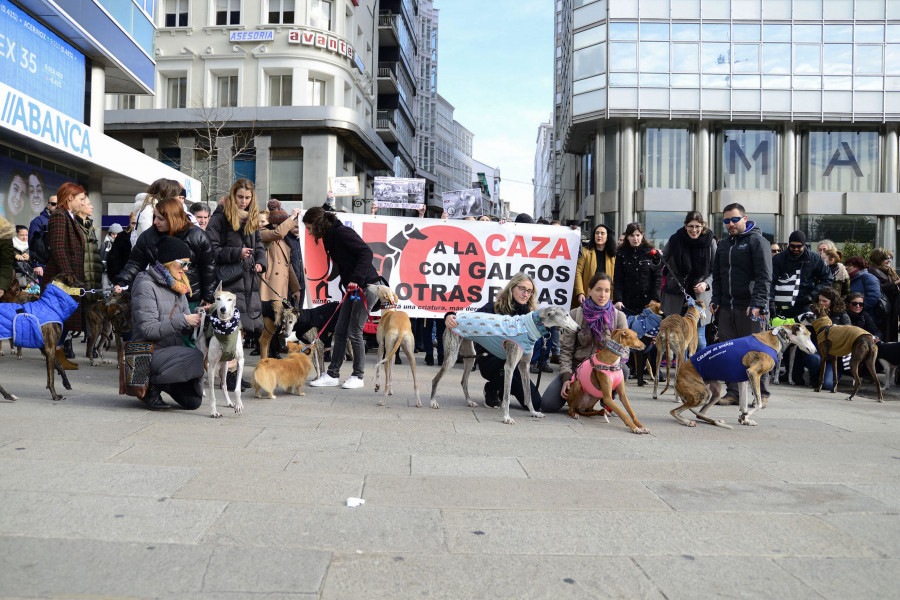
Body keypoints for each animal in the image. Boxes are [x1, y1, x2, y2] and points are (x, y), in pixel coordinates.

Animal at [432, 308, 580, 424]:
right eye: (566, 315)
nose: (579, 328)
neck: (532, 324)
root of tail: (454, 317)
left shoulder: (524, 366)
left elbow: (528, 394)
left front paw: (533, 412)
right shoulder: (509, 366)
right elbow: (507, 396)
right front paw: (507, 417)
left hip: (470, 357)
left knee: (464, 381)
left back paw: (469, 401)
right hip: (452, 357)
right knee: (435, 379)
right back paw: (433, 402)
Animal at [672, 326, 820, 428]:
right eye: (808, 334)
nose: (815, 350)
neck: (777, 337)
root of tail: (678, 376)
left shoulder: (743, 379)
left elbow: (743, 404)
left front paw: (745, 419)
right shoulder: (753, 373)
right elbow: (759, 403)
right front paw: (746, 415)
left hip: (715, 391)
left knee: (700, 413)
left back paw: (714, 421)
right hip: (702, 394)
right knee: (674, 412)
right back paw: (686, 421)